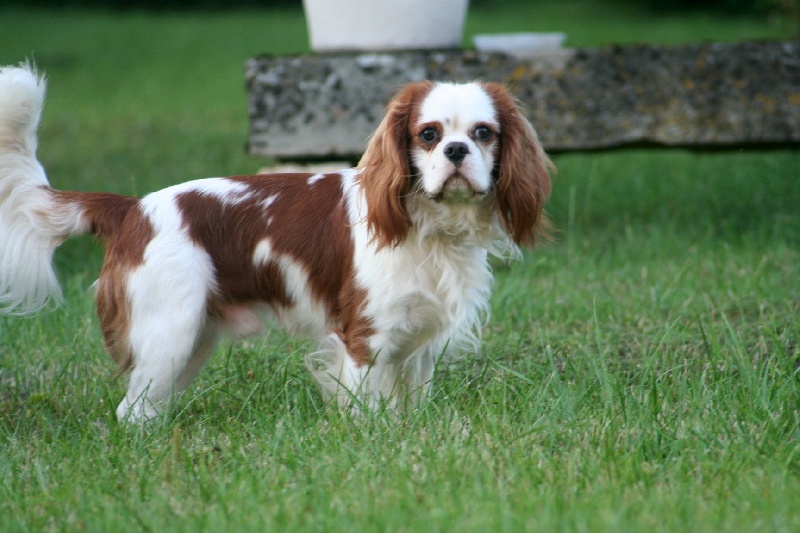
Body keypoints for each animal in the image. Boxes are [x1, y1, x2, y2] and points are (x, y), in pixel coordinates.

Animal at [0, 63, 552, 420]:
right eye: (429, 134)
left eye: (483, 133)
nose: (457, 150)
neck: (430, 228)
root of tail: (133, 208)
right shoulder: (364, 340)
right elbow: (367, 413)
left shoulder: (420, 348)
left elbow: (412, 409)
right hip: (169, 334)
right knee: (129, 411)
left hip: (190, 341)